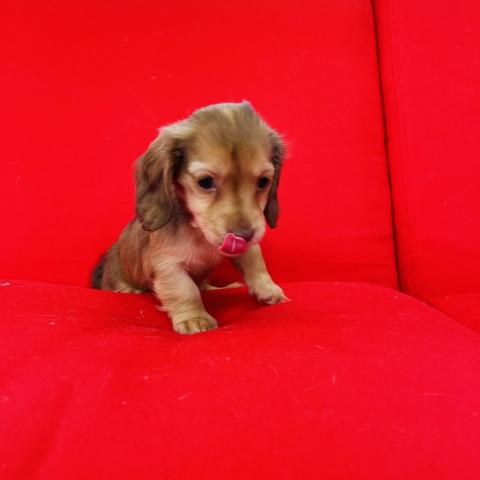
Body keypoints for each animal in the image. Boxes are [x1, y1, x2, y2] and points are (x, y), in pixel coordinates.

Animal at [92, 101, 287, 334]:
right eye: (205, 182)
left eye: (263, 182)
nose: (243, 235)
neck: (199, 231)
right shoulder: (167, 263)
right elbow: (184, 289)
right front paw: (194, 318)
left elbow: (254, 259)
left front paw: (267, 288)